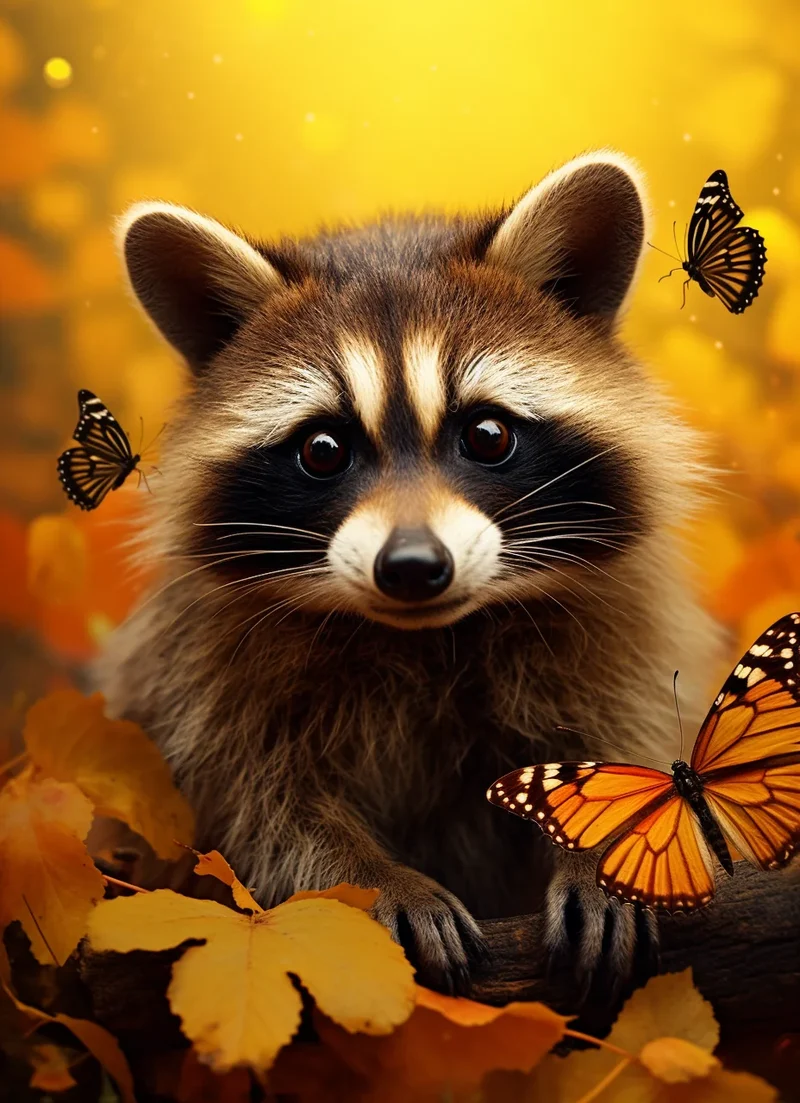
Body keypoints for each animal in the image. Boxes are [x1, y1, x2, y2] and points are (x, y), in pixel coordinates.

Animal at [98, 152, 720, 990]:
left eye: (487, 434)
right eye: (322, 449)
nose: (414, 567)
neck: (430, 633)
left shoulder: (621, 626)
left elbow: (632, 732)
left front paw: (600, 850)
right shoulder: (199, 672)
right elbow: (256, 807)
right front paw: (371, 878)